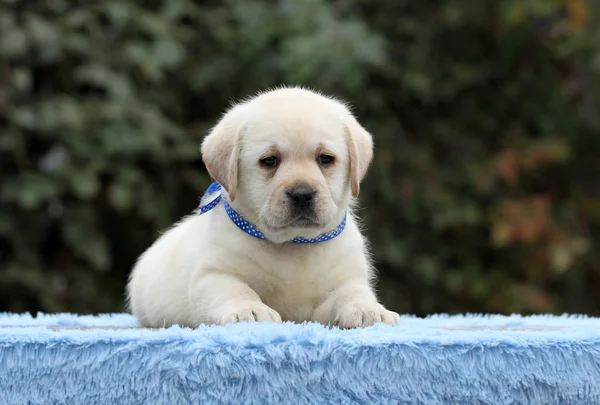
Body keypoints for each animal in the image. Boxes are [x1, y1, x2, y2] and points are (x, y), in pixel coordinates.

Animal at [126, 86, 398, 328]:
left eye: (325, 159)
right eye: (269, 161)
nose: (302, 194)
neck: (293, 245)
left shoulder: (346, 278)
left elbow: (352, 292)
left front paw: (369, 309)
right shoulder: (214, 274)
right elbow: (237, 290)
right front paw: (250, 310)